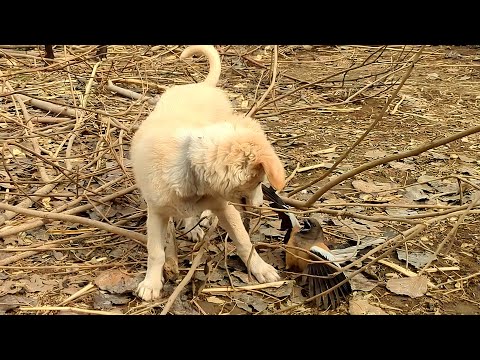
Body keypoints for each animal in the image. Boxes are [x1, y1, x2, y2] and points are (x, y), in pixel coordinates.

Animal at [130, 45, 284, 300]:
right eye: (257, 180)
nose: (258, 207)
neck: (188, 163)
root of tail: (203, 85)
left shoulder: (225, 208)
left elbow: (244, 241)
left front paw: (260, 268)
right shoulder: (156, 213)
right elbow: (156, 252)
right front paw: (151, 283)